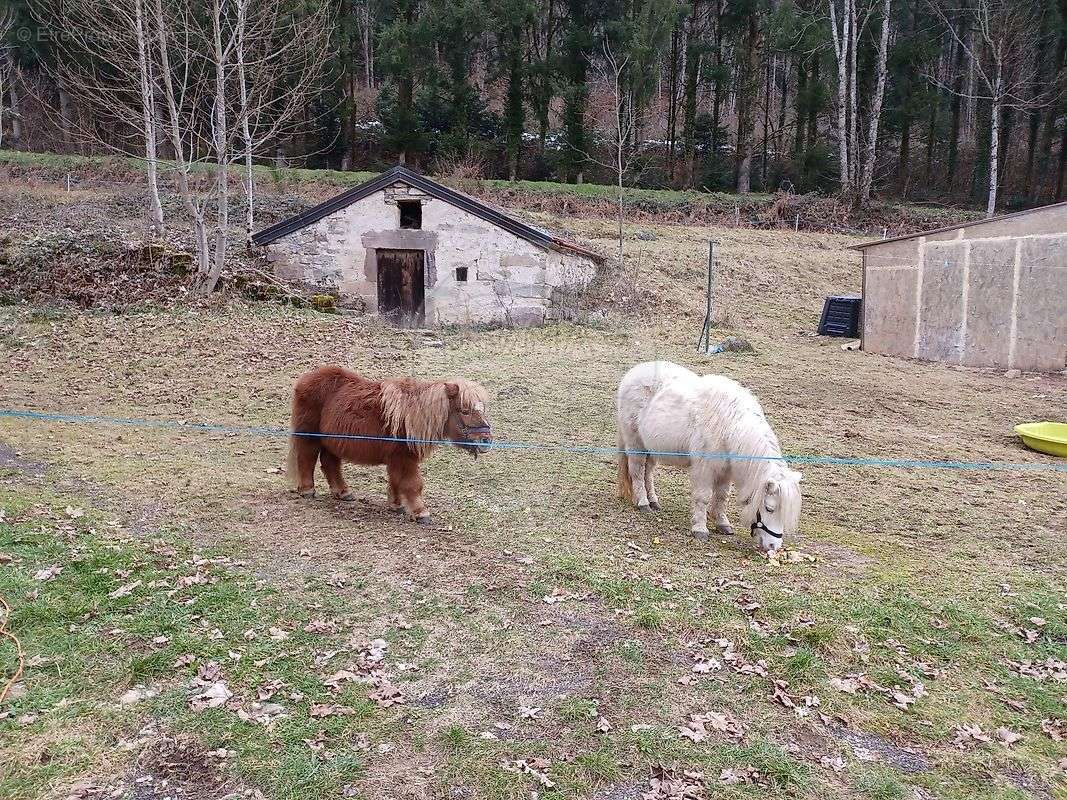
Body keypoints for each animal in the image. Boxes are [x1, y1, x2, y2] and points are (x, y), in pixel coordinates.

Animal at [290, 366, 492, 522]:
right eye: (465, 411)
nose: (486, 441)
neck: (412, 416)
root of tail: (305, 380)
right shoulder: (404, 458)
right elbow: (412, 483)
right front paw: (420, 513)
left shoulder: (397, 459)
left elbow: (395, 480)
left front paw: (396, 505)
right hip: (309, 436)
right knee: (307, 458)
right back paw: (307, 490)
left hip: (331, 442)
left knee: (330, 463)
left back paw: (343, 492)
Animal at [618, 362, 802, 554]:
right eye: (769, 508)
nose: (773, 546)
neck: (730, 425)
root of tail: (634, 372)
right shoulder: (704, 468)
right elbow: (703, 497)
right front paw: (700, 529)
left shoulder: (726, 471)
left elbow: (722, 497)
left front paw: (722, 524)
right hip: (635, 443)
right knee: (637, 472)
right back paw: (643, 503)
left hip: (651, 449)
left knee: (648, 473)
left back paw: (653, 501)